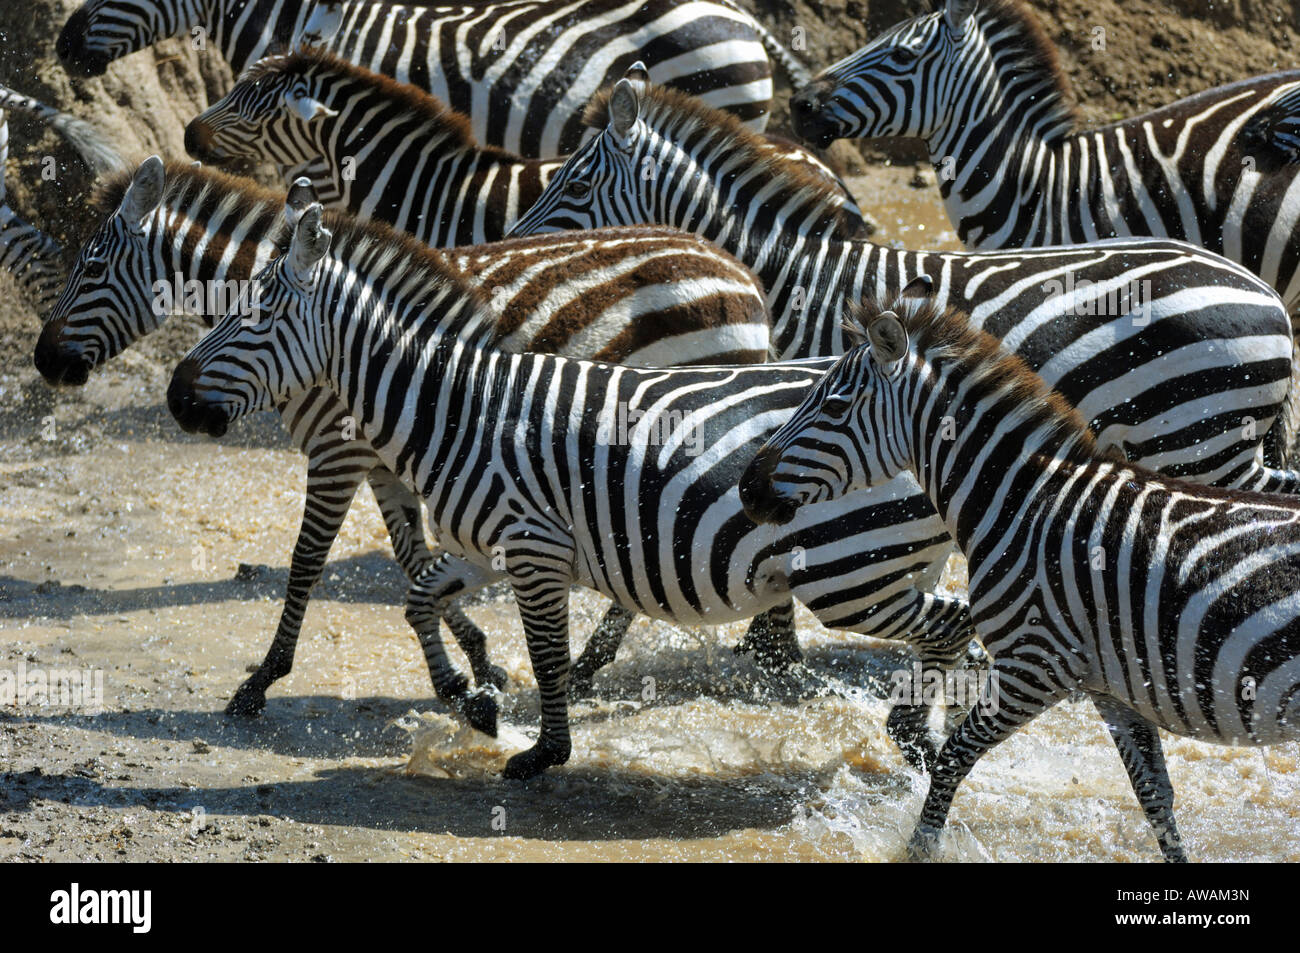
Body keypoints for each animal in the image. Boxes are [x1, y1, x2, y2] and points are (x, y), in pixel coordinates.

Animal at [34, 156, 775, 727]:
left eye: (91, 267)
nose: (43, 362)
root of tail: (732, 265)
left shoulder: (337, 452)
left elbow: (306, 561)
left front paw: (264, 678)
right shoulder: (387, 459)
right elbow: (414, 557)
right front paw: (469, 666)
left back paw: (626, 661)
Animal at [165, 201, 1001, 779]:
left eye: (255, 314)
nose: (176, 396)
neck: (455, 406)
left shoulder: (533, 547)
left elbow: (541, 649)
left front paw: (544, 750)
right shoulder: (488, 547)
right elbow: (420, 595)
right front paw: (473, 696)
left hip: (850, 570)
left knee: (951, 625)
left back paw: (913, 733)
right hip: (893, 565)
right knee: (943, 629)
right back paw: (916, 732)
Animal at [740, 297, 1300, 862]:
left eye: (833, 407)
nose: (746, 489)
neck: (1026, 505)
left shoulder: (1032, 666)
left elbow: (952, 756)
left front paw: (920, 849)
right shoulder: (1110, 688)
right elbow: (1153, 793)